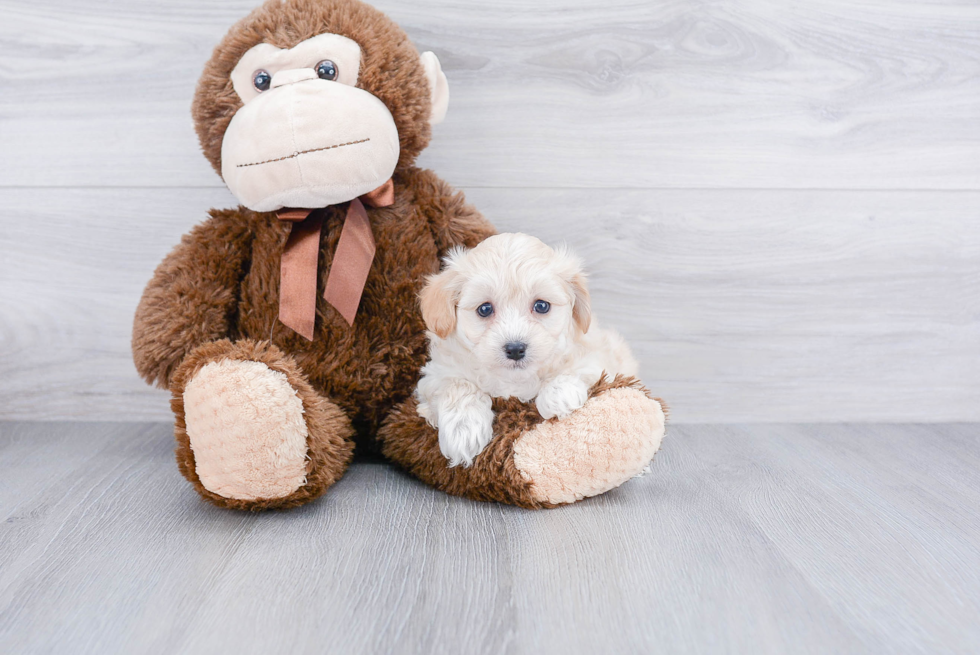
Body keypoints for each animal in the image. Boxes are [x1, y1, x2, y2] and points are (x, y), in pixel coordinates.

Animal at [416, 231, 640, 466]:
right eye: (484, 309)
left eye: (541, 306)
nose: (515, 349)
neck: (514, 381)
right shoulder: (436, 374)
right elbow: (458, 385)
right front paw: (463, 430)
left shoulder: (598, 357)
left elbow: (576, 368)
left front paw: (559, 396)